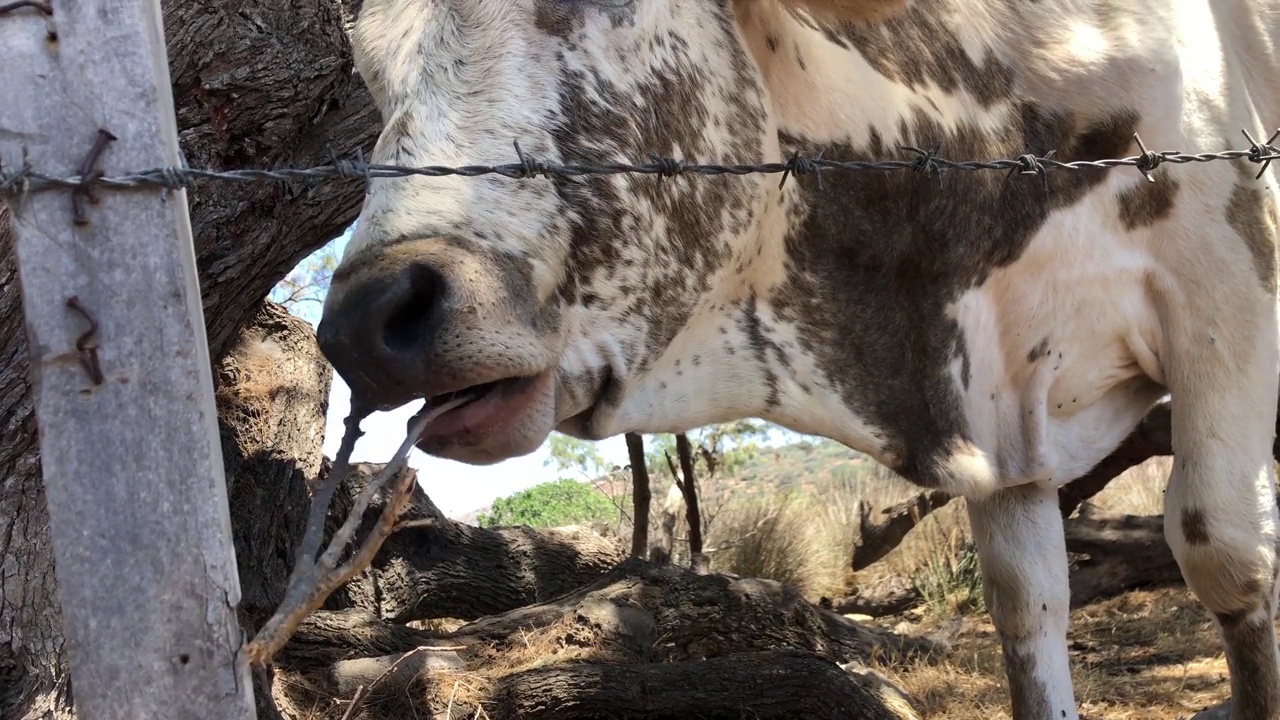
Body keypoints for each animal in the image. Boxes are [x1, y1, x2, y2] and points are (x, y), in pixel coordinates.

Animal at [314, 0, 1280, 712]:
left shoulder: (1226, 289)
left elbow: (1224, 553)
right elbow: (1026, 605)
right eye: (370, 63)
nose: (366, 320)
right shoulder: (998, 414)